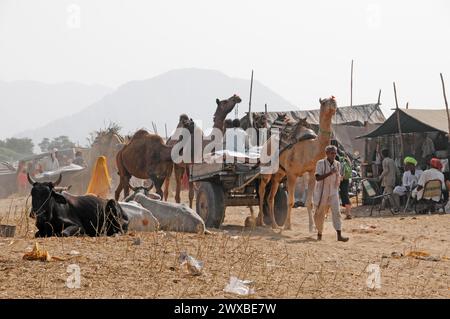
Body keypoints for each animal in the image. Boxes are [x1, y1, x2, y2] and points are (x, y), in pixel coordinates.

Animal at [256, 96, 338, 231]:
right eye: (324, 102)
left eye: (333, 100)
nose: (333, 101)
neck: (311, 148)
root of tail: (266, 143)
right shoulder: (291, 174)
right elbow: (290, 201)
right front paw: (287, 226)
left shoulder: (312, 173)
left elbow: (309, 202)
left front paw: (312, 227)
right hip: (266, 169)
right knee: (261, 191)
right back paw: (261, 222)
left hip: (279, 174)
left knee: (270, 197)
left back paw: (274, 224)